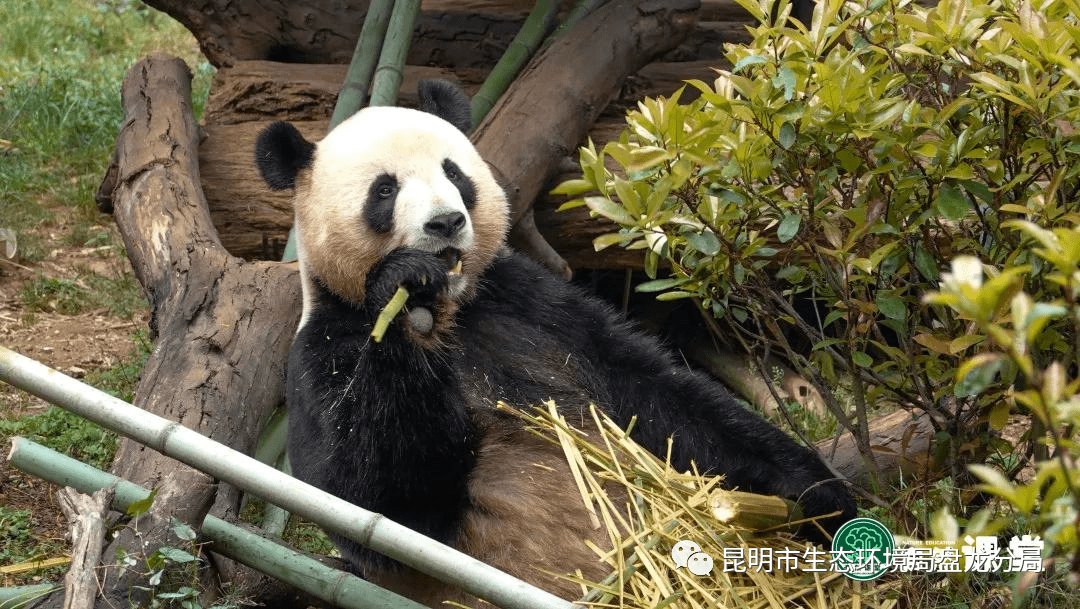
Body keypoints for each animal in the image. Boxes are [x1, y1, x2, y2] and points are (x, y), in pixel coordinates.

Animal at [257, 79, 855, 604]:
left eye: (453, 172)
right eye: (384, 190)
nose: (446, 222)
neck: (454, 310)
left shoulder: (527, 298)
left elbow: (659, 395)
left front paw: (821, 496)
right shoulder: (323, 352)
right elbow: (379, 505)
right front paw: (406, 296)